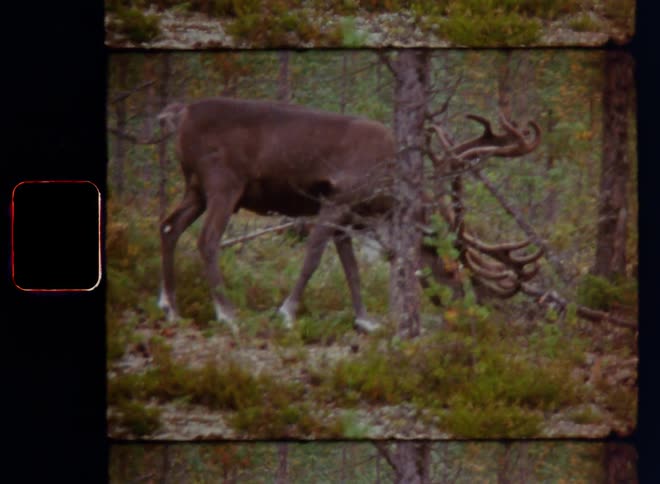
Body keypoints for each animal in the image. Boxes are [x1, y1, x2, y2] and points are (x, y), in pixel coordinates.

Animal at [156, 97, 542, 333]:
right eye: (450, 270)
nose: (461, 316)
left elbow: (351, 268)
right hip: (223, 185)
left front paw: (365, 321)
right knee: (207, 240)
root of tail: (180, 112)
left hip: (195, 188)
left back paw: (170, 306)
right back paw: (227, 314)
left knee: (168, 227)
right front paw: (287, 313)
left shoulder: (349, 218)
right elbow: (313, 258)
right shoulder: (337, 201)